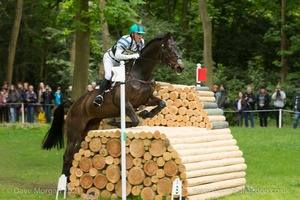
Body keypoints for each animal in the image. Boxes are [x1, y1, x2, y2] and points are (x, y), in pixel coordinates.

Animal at [41, 32, 184, 176]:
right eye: (170, 49)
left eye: (177, 48)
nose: (180, 67)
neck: (141, 73)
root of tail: (72, 104)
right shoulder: (125, 103)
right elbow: (135, 121)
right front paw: (119, 124)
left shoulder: (147, 99)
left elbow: (162, 104)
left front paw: (146, 113)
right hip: (75, 130)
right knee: (67, 154)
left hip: (90, 127)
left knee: (75, 152)